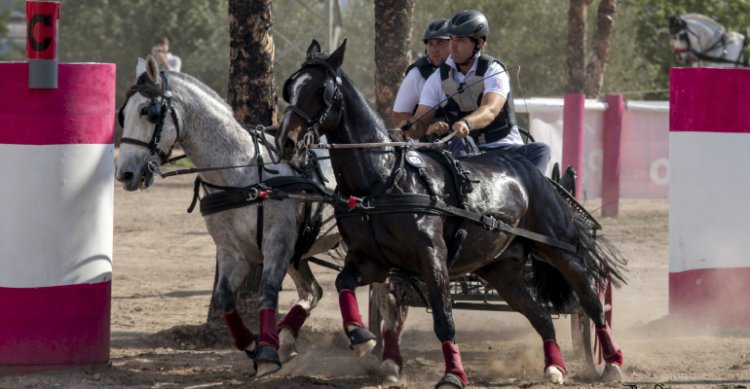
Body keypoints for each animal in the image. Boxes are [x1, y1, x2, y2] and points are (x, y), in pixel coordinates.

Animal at [116, 55, 346, 376]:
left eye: (146, 111)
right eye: (122, 114)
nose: (125, 174)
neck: (240, 173)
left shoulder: (277, 242)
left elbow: (267, 292)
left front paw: (266, 353)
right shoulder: (232, 251)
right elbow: (224, 297)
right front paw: (252, 344)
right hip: (299, 250)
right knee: (313, 291)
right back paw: (287, 339)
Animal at [276, 40, 628, 388]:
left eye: (321, 90)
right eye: (291, 88)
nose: (286, 141)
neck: (383, 181)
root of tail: (532, 172)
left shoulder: (432, 257)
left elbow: (444, 319)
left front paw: (453, 374)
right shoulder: (371, 261)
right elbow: (343, 284)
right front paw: (360, 336)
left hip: (557, 248)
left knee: (590, 298)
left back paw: (611, 361)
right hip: (500, 269)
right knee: (540, 315)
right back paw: (555, 366)